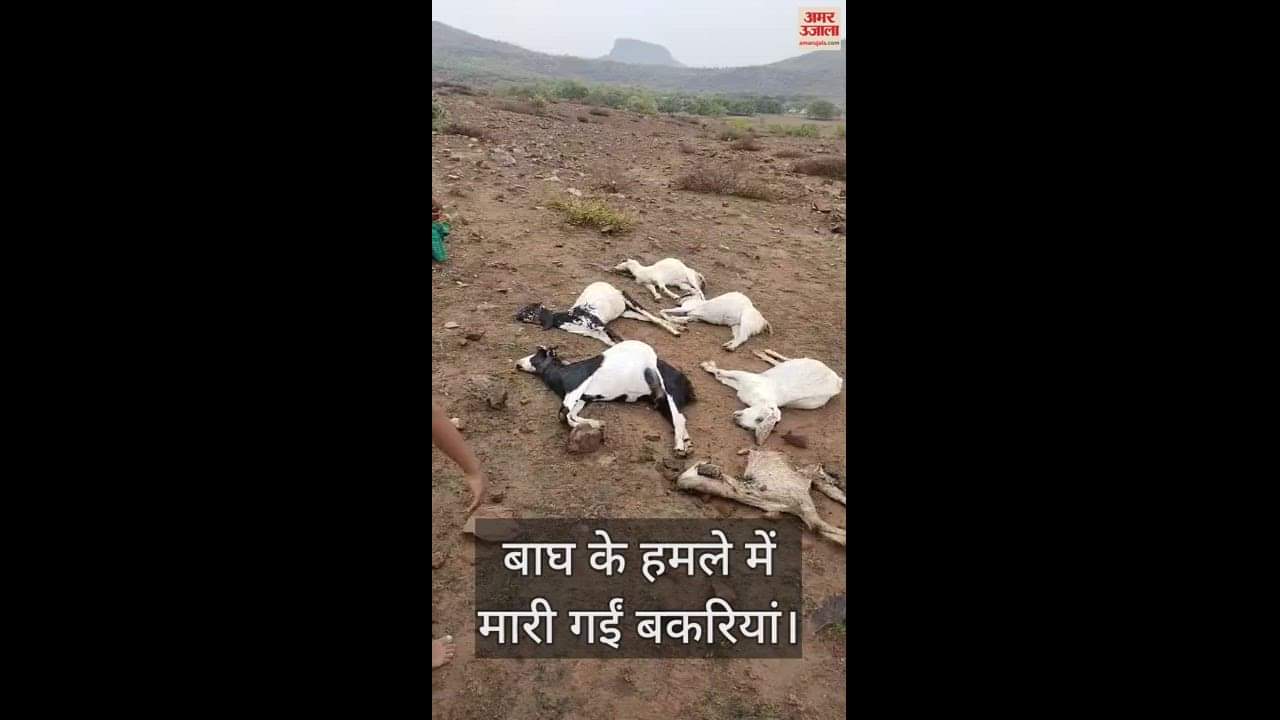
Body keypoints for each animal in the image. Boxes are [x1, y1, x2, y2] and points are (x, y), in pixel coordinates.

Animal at [515, 281, 682, 345]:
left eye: (529, 310)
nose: (515, 315)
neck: (570, 318)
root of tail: (612, 288)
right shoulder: (599, 335)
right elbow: (613, 344)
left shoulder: (601, 326)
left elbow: (621, 340)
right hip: (627, 312)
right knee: (650, 319)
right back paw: (679, 326)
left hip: (631, 302)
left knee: (653, 317)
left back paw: (675, 331)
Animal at [517, 341, 696, 456]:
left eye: (536, 355)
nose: (518, 363)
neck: (563, 373)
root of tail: (686, 382)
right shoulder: (583, 398)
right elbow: (571, 415)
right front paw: (597, 423)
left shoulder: (575, 391)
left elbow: (563, 415)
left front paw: (598, 424)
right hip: (662, 401)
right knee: (677, 419)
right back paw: (688, 443)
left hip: (671, 393)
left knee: (679, 419)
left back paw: (680, 448)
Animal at [700, 349, 842, 444]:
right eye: (760, 419)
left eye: (757, 422)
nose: (736, 419)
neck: (762, 398)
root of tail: (837, 381)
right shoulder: (746, 377)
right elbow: (723, 372)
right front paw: (708, 365)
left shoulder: (742, 386)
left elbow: (721, 378)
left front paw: (710, 368)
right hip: (802, 362)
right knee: (785, 360)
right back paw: (765, 352)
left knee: (779, 363)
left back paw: (763, 354)